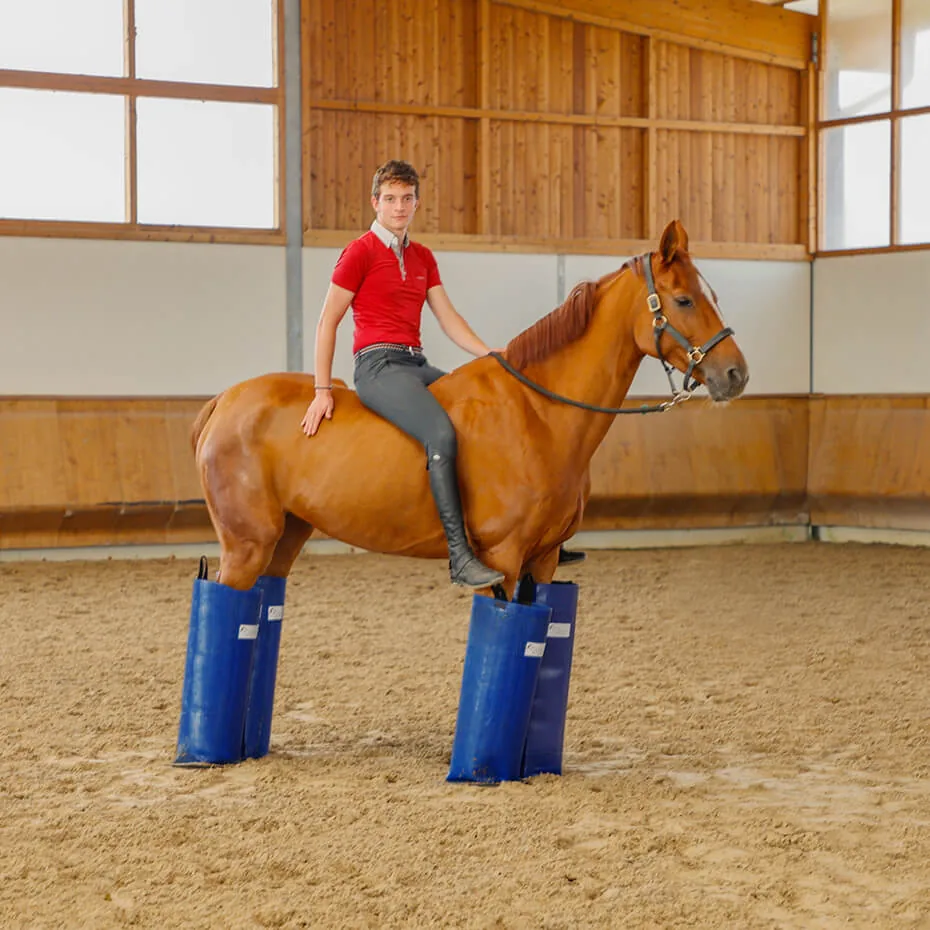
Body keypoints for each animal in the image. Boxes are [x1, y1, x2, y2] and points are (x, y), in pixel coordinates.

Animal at [191, 220, 748, 599]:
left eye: (712, 295)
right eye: (682, 301)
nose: (736, 374)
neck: (539, 413)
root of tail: (225, 401)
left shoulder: (544, 561)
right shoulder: (502, 562)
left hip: (284, 542)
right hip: (246, 549)